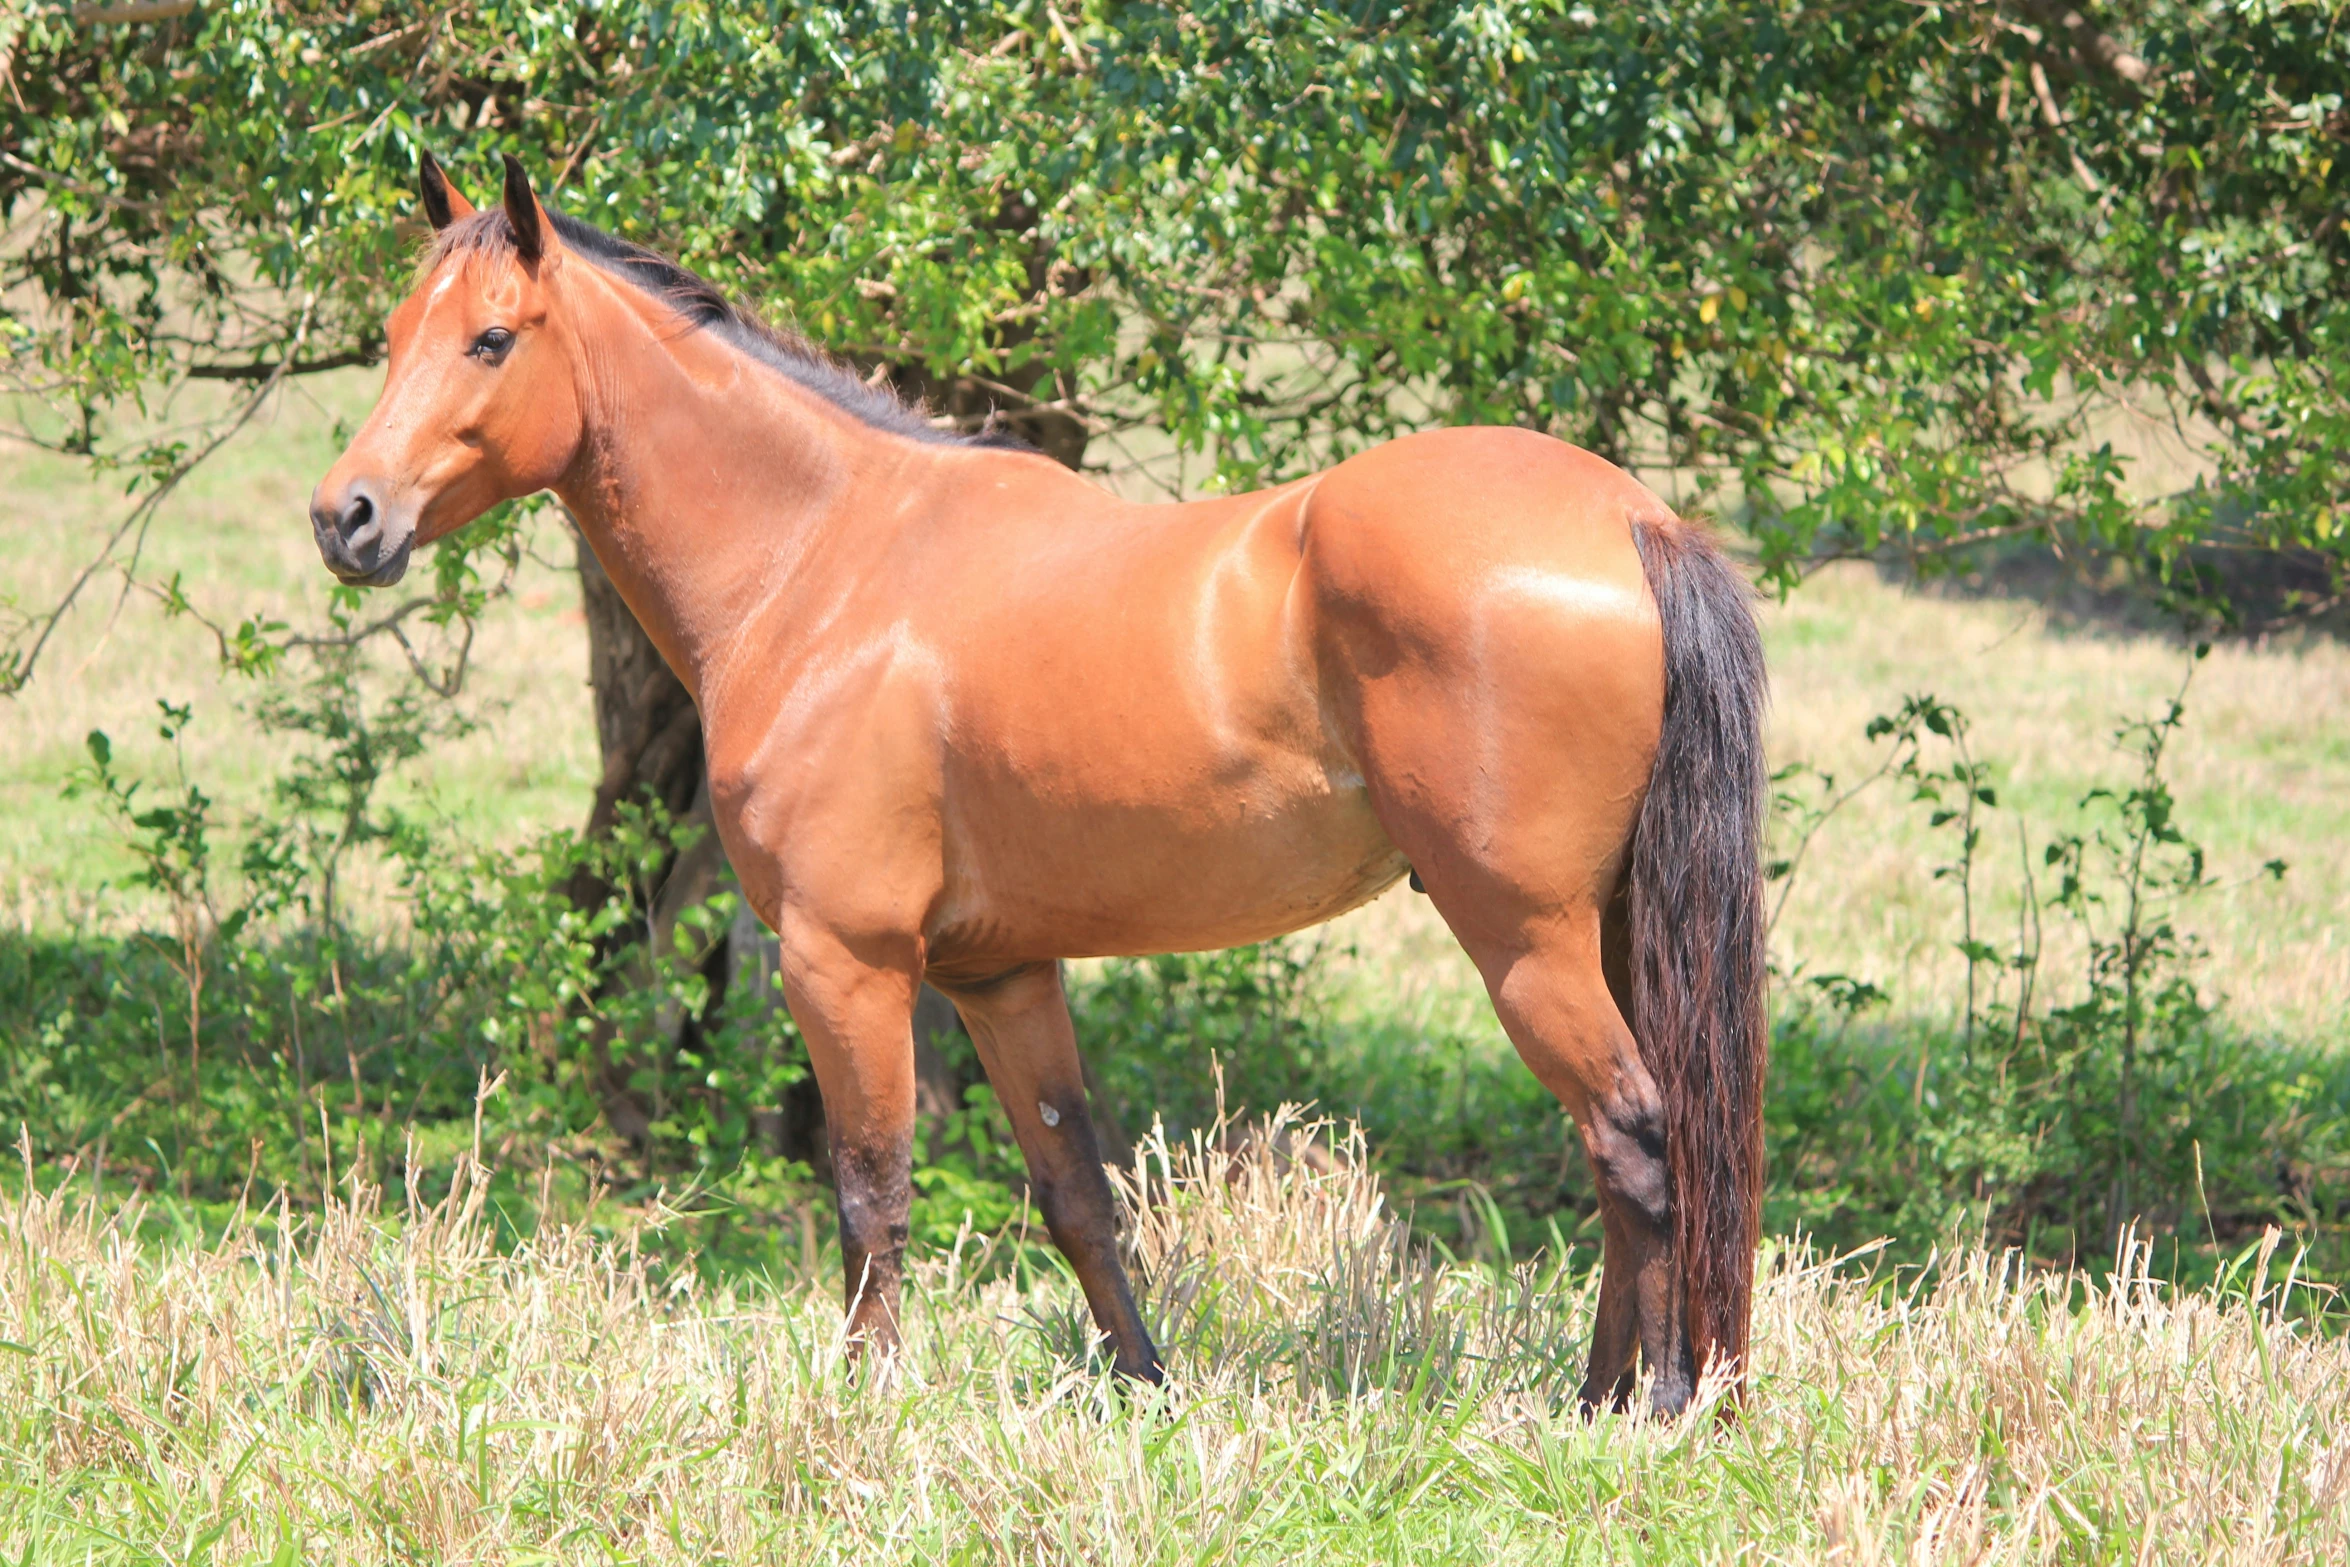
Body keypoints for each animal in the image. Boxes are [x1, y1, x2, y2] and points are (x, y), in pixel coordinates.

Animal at [312, 159, 1767, 1418]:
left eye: (492, 339)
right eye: (393, 333)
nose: (347, 517)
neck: (822, 557)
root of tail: (1632, 519)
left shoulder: (844, 962)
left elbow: (869, 1191)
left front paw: (863, 1405)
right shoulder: (1000, 974)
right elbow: (1073, 1191)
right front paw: (1144, 1388)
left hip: (1523, 937)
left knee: (1635, 1139)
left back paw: (1646, 1404)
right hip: (1607, 930)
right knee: (1638, 1144)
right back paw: (1610, 1394)